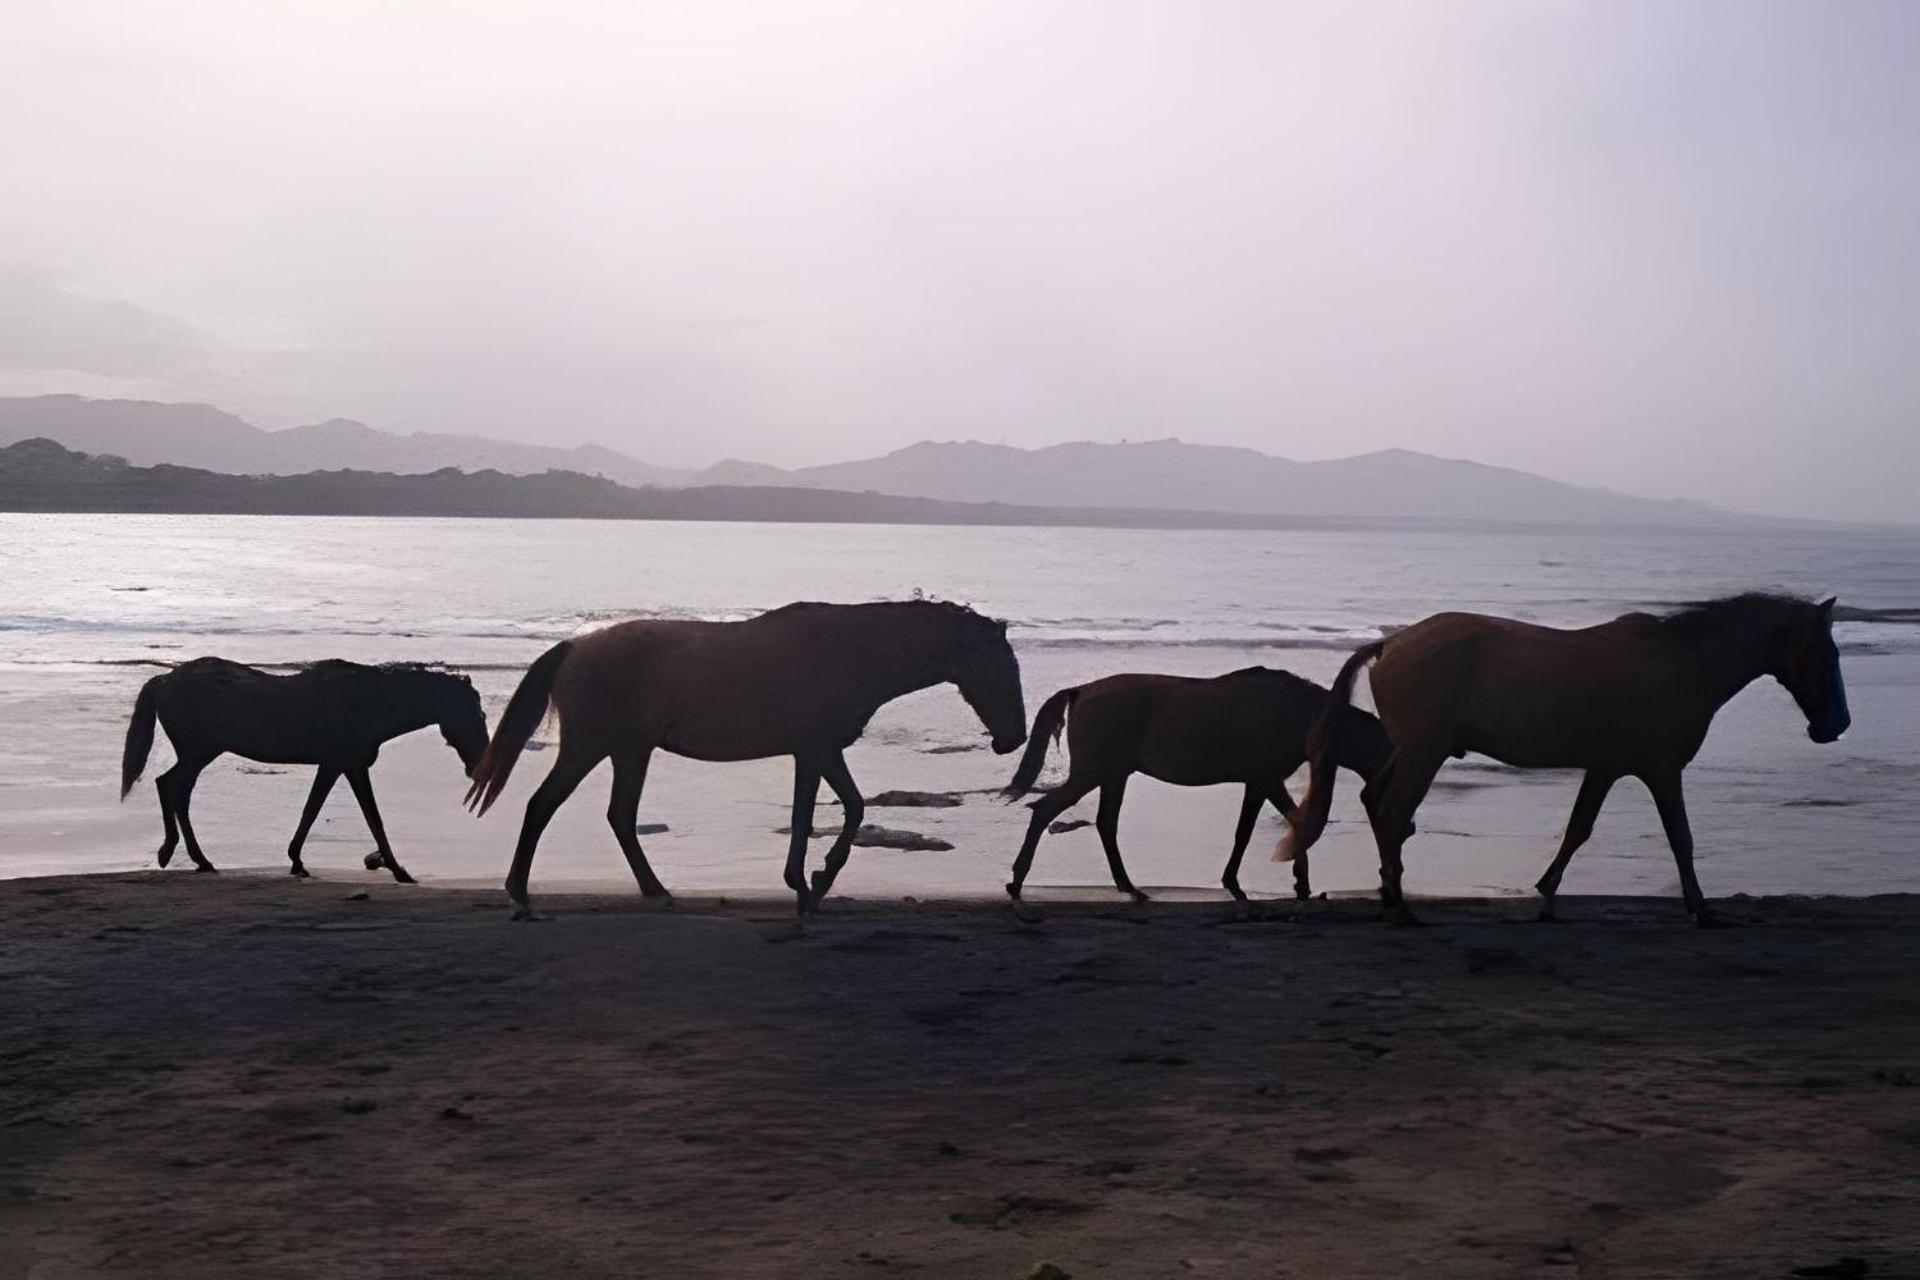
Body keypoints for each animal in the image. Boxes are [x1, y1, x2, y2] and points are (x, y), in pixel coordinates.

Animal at [119, 660, 487, 882]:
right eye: (475, 715)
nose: (479, 765)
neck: (368, 702)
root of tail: (164, 679)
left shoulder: (335, 766)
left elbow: (313, 810)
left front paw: (296, 860)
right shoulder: (348, 766)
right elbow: (371, 818)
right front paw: (399, 870)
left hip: (198, 754)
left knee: (175, 790)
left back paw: (193, 857)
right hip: (198, 752)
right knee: (171, 786)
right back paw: (180, 853)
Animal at [466, 602, 1029, 921]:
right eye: (1003, 668)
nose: (1014, 738)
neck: (852, 650)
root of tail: (574, 646)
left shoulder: (821, 751)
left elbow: (850, 808)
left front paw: (817, 880)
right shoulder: (815, 750)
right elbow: (814, 816)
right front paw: (807, 884)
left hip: (631, 751)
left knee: (620, 818)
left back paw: (655, 891)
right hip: (591, 747)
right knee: (543, 807)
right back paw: (520, 893)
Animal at [998, 671, 1390, 901]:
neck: (1301, 712)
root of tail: (1079, 691)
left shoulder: (1257, 782)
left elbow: (1251, 829)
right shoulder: (1266, 779)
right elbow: (1281, 824)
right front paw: (1295, 879)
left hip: (1114, 774)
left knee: (1106, 824)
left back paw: (1127, 885)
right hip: (1093, 772)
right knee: (1047, 810)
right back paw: (1018, 879)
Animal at [1282, 594, 1850, 924]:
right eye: (1828, 652)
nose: (1836, 726)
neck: (1681, 663)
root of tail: (1392, 643)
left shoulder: (1606, 767)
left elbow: (1578, 829)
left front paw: (1548, 894)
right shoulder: (1661, 770)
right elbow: (1680, 838)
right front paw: (1700, 907)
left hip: (1414, 751)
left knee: (1375, 800)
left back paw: (1388, 892)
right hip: (1425, 753)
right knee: (1393, 811)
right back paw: (1400, 905)